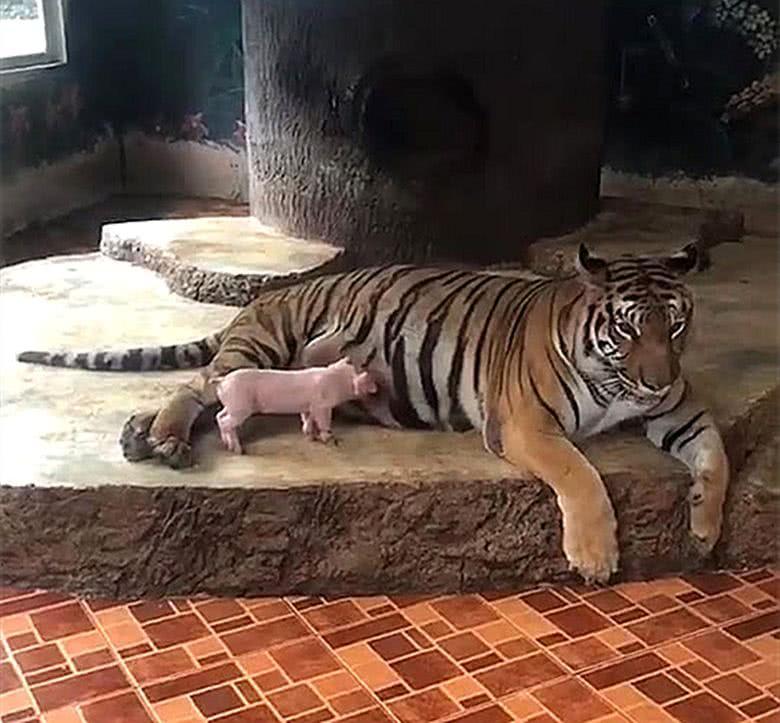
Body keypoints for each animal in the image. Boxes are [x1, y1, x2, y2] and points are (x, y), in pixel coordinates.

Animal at [18, 243, 732, 584]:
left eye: (675, 326)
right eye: (628, 328)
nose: (657, 377)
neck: (618, 381)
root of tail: (266, 296)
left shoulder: (680, 410)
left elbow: (717, 455)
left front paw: (703, 525)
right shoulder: (526, 423)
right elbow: (581, 476)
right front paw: (594, 556)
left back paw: (142, 434)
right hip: (259, 348)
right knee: (197, 388)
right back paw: (162, 438)